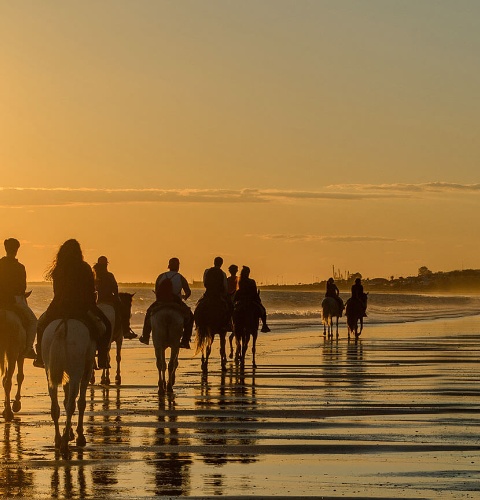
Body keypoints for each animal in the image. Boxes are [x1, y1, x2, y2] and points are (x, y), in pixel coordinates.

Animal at [42, 318, 97, 456]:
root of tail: (63, 325)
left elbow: (65, 399)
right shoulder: (87, 368)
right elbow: (81, 402)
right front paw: (79, 435)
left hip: (49, 369)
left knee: (55, 407)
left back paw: (58, 439)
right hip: (76, 370)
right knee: (71, 405)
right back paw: (65, 443)